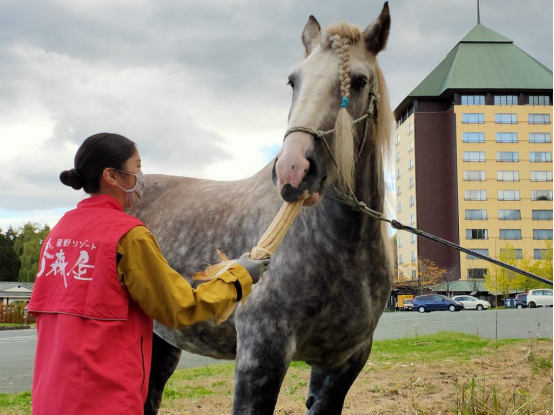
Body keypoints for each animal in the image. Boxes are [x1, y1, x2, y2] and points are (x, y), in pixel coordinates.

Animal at [135, 2, 392, 412]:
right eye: (293, 81)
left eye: (359, 81)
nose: (292, 170)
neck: (343, 246)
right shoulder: (261, 356)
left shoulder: (343, 364)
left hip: (162, 342)